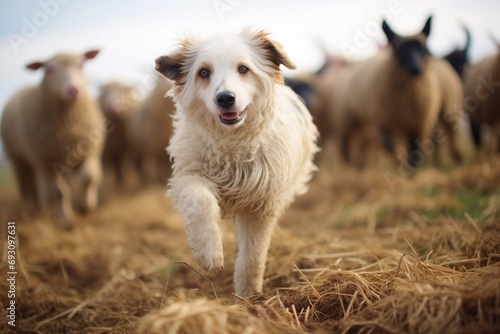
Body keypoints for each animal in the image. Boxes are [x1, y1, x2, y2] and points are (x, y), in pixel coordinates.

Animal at [0, 49, 104, 228]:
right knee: (28, 187)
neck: (67, 129)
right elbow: (58, 193)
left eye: (81, 65)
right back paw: (33, 211)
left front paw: (85, 207)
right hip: (19, 161)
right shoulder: (45, 162)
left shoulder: (87, 152)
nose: (73, 91)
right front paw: (66, 221)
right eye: (49, 70)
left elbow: (88, 178)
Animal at [156, 27, 318, 296]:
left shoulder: (261, 205)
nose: (225, 98)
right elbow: (201, 203)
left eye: (243, 68)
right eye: (203, 72)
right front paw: (209, 254)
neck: (232, 145)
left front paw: (248, 295)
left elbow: (253, 255)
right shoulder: (188, 176)